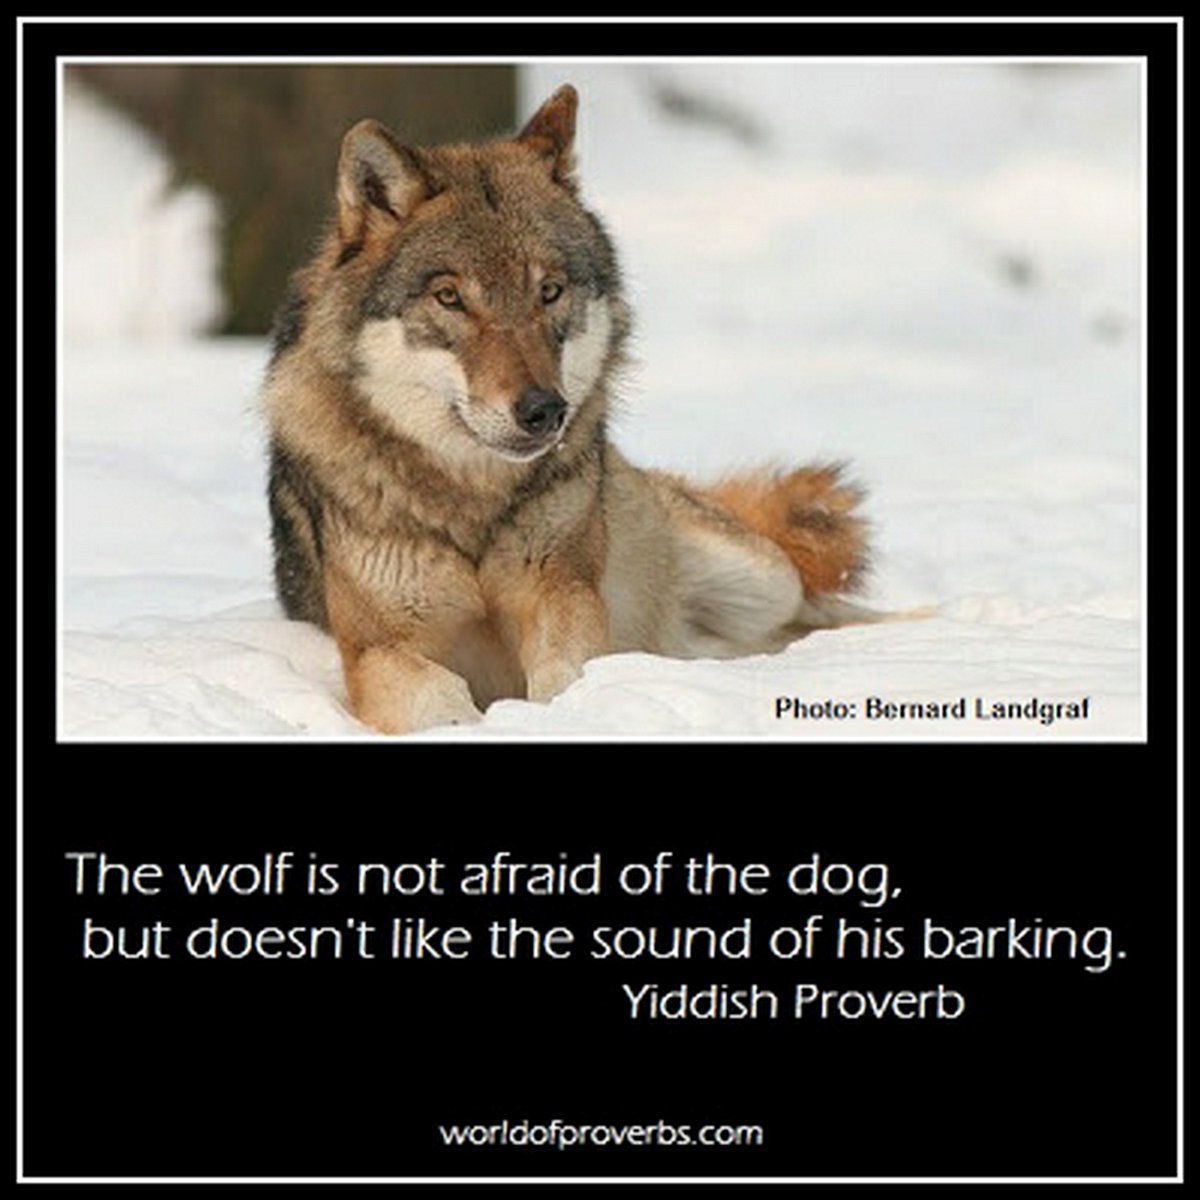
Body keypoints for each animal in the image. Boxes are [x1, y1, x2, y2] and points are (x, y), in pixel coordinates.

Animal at [264, 85, 873, 734]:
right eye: (450, 298)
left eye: (549, 291)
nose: (543, 410)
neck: (473, 507)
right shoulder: (377, 647)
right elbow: (438, 700)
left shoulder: (566, 596)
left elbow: (566, 678)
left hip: (766, 578)